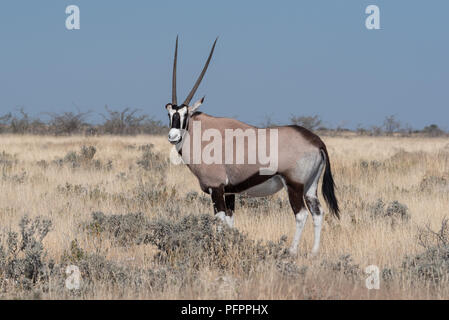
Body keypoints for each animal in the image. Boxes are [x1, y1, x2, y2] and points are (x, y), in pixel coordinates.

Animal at [166, 36, 338, 254]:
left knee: (301, 215)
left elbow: (219, 221)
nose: (172, 136)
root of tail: (316, 141)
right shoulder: (230, 191)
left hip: (294, 185)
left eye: (186, 114)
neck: (203, 134)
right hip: (310, 186)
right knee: (317, 213)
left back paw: (291, 251)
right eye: (170, 114)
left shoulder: (217, 189)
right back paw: (314, 253)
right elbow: (230, 222)